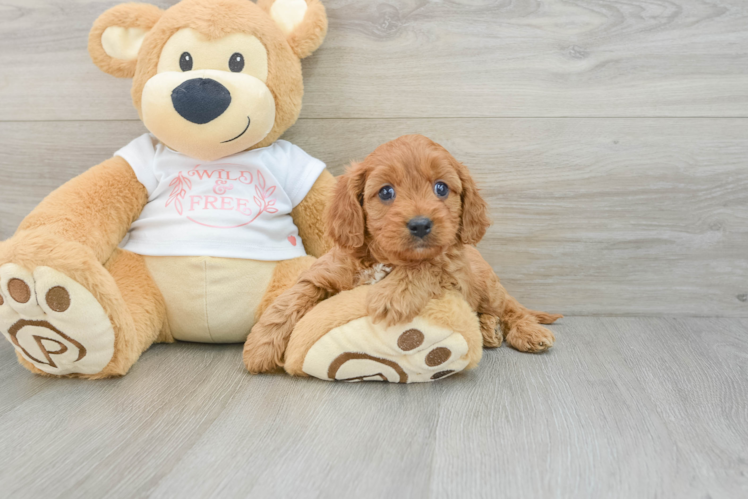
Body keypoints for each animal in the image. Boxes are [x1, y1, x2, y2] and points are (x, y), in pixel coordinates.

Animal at [245, 135, 560, 374]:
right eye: (386, 192)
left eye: (441, 187)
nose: (420, 224)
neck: (385, 259)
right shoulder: (326, 271)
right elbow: (290, 299)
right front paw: (260, 345)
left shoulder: (453, 272)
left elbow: (428, 265)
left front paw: (392, 296)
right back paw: (489, 329)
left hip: (487, 286)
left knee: (511, 308)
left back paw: (528, 331)